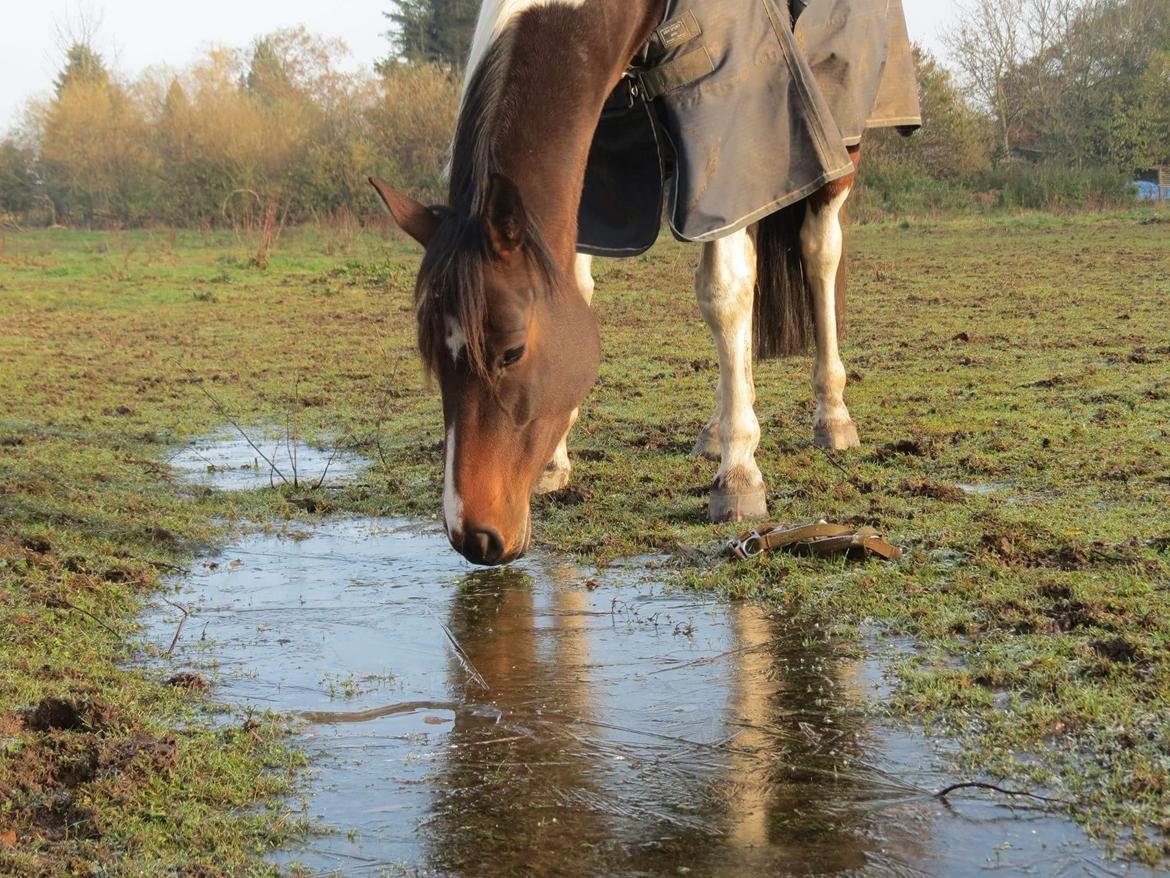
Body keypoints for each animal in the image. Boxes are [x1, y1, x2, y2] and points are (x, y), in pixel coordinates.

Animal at [369, 0, 875, 564]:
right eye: (432, 358)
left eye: (512, 352)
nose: (474, 538)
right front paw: (555, 463)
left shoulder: (728, 126)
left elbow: (723, 293)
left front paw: (740, 476)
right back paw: (718, 427)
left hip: (827, 139)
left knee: (817, 251)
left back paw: (831, 415)